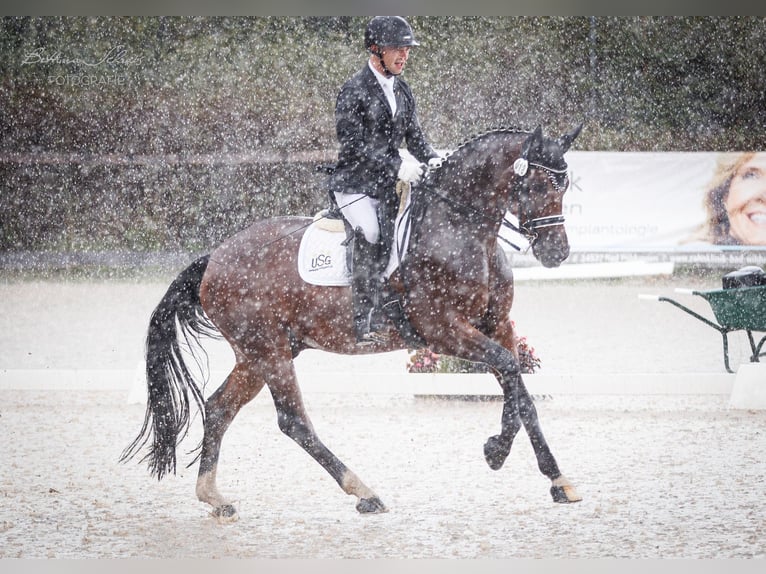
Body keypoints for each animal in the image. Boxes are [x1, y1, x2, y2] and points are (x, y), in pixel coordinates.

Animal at [123, 125, 584, 520]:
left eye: (564, 187)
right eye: (537, 185)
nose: (557, 253)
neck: (462, 229)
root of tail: (214, 258)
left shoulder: (497, 325)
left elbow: (520, 391)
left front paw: (558, 480)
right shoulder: (442, 330)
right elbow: (508, 370)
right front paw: (496, 451)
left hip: (261, 353)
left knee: (220, 407)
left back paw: (214, 498)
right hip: (268, 351)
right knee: (293, 421)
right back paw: (364, 492)